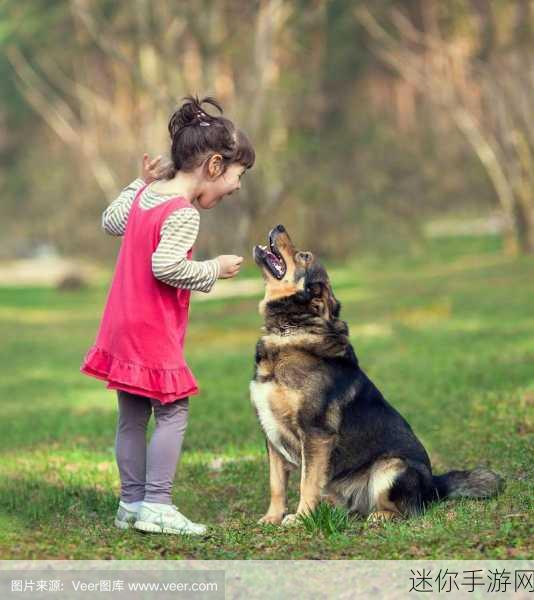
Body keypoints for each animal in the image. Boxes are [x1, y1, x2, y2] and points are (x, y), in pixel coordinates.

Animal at [250, 225, 502, 524]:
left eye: (304, 256)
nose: (279, 226)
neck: (289, 331)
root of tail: (435, 486)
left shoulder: (315, 433)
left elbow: (306, 484)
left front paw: (301, 519)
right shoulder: (271, 433)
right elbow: (276, 484)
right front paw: (272, 518)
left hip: (390, 467)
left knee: (408, 510)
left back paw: (380, 516)